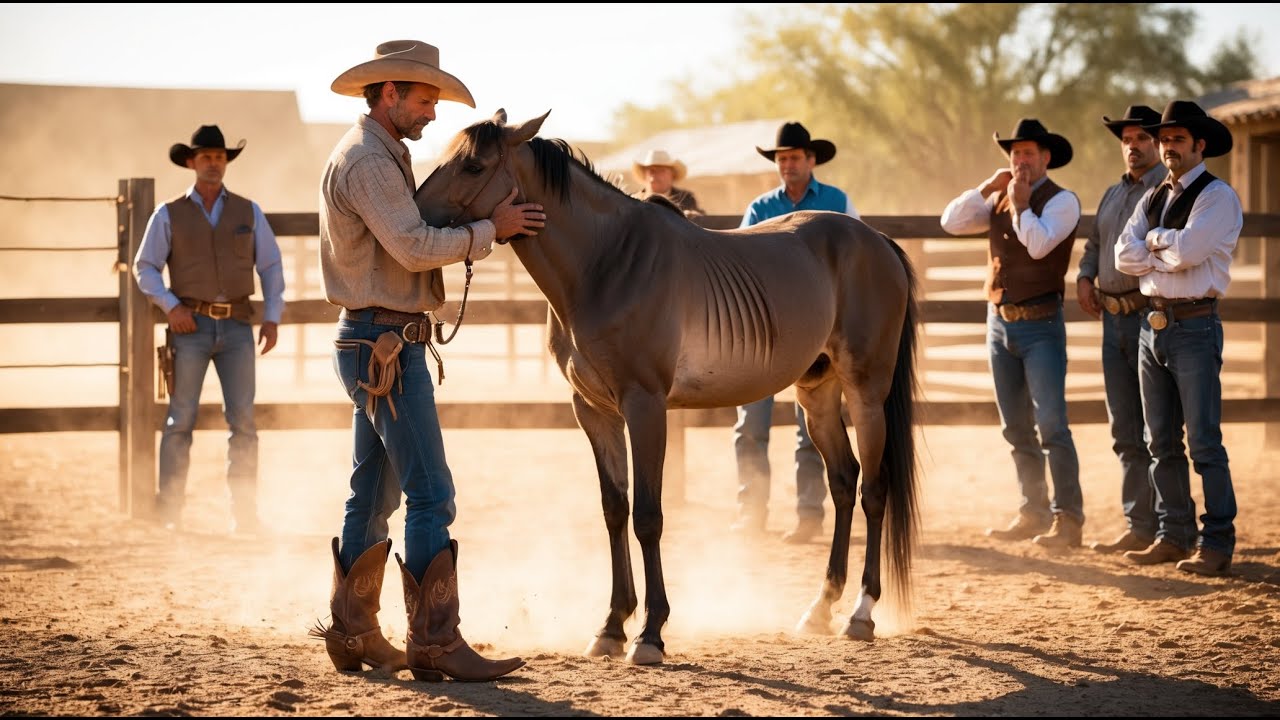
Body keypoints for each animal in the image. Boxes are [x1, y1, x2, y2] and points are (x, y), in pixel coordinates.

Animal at [415, 110, 920, 665]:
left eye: (473, 165)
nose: (413, 211)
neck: (605, 264)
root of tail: (876, 239)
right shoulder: (593, 411)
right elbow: (615, 511)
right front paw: (611, 626)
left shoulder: (645, 407)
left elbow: (648, 517)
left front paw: (650, 633)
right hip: (818, 394)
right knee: (844, 480)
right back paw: (820, 609)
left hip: (866, 393)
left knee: (874, 490)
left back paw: (860, 614)